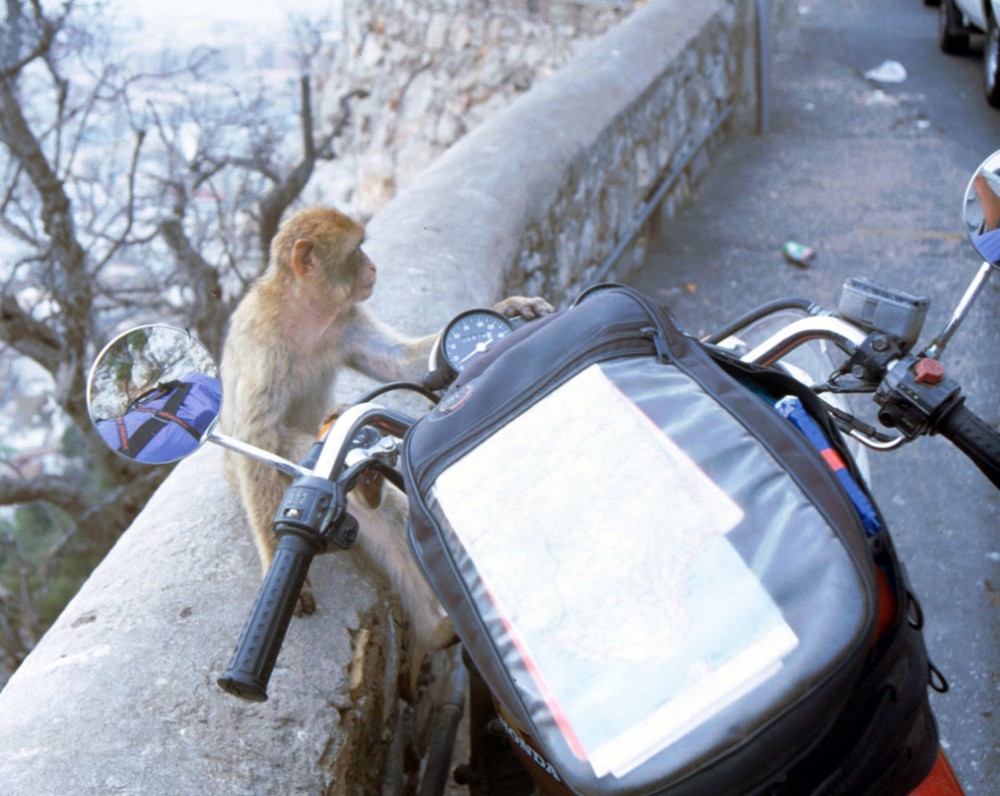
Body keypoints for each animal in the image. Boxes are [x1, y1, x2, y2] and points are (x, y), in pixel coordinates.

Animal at [218, 207, 556, 672]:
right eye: (357, 249)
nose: (374, 267)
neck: (305, 312)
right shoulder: (263, 344)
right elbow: (257, 437)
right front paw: (275, 562)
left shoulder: (345, 321)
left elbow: (401, 361)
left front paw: (508, 308)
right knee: (289, 448)